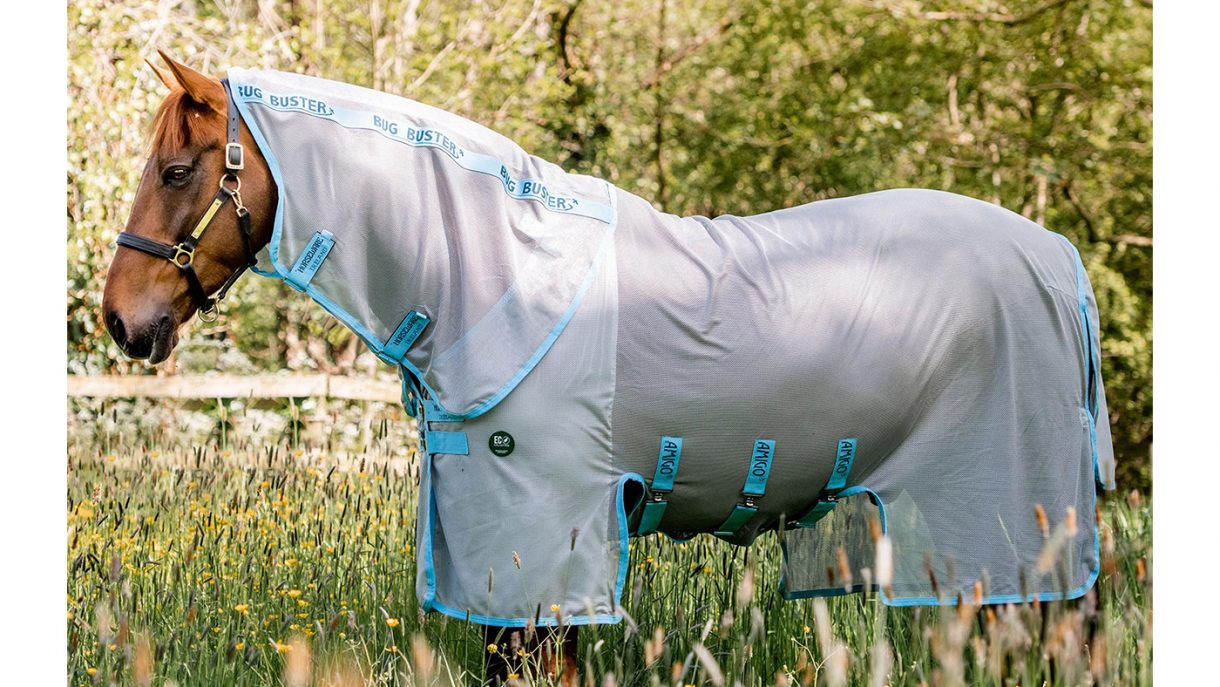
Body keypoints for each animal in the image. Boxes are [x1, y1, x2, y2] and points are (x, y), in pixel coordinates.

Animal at [102, 52, 1115, 683]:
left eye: (180, 170)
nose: (121, 318)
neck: (497, 272)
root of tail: (1058, 259)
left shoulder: (546, 551)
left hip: (1003, 530)